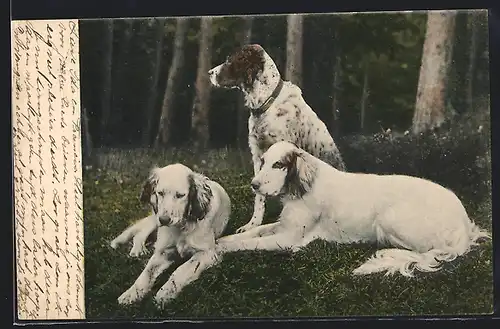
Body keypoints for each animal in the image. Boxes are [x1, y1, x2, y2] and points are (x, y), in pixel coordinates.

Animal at [109, 163, 230, 304]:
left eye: (180, 195)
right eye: (160, 193)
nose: (164, 220)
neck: (180, 228)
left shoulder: (208, 253)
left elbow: (181, 269)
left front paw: (166, 291)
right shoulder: (163, 252)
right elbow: (146, 272)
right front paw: (132, 293)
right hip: (154, 219)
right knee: (140, 234)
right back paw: (138, 250)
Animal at [215, 140, 488, 276]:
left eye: (279, 165)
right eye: (263, 162)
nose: (254, 185)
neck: (301, 187)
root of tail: (464, 225)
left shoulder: (288, 239)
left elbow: (248, 243)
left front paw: (220, 248)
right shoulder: (283, 226)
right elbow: (253, 232)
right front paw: (223, 238)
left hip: (389, 218)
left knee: (423, 251)